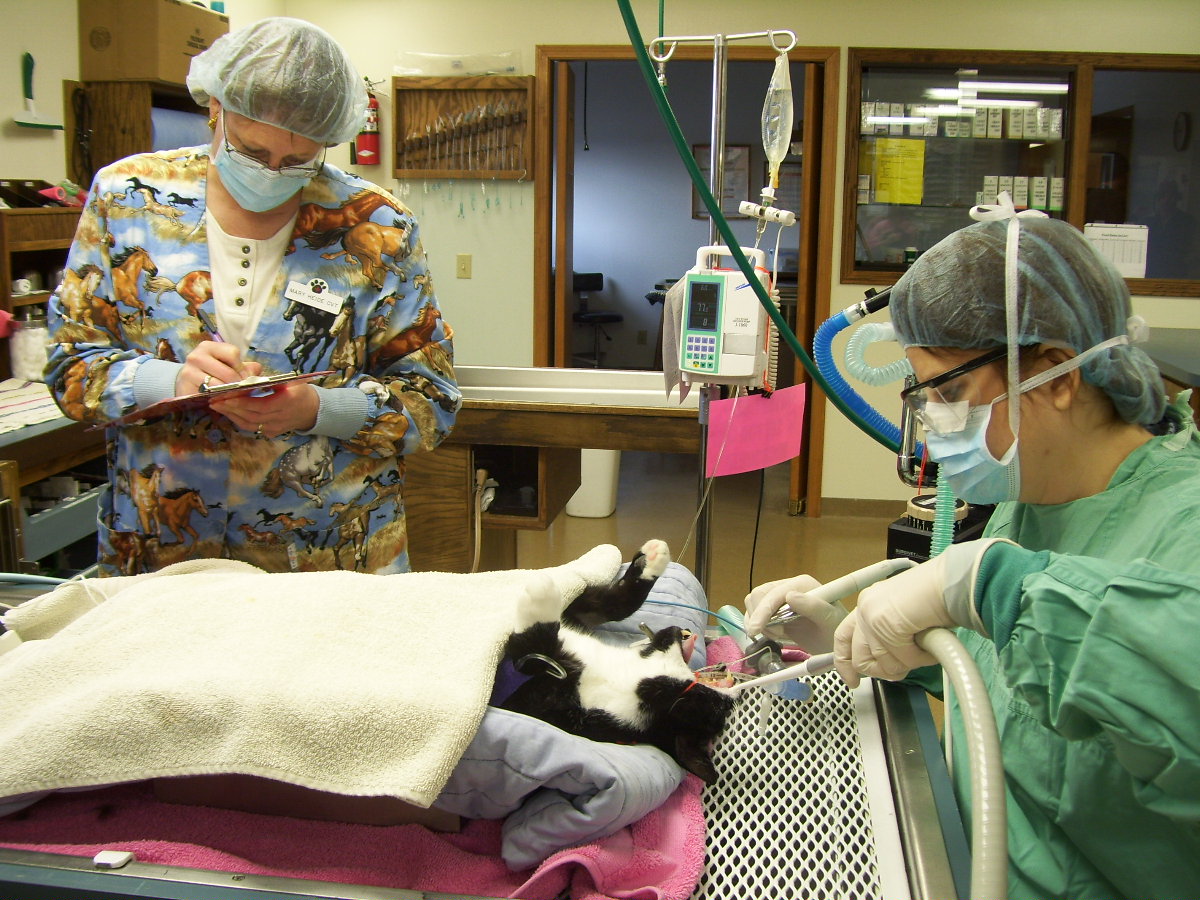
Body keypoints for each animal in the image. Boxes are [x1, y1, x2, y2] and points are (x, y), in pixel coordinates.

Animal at [492, 540, 734, 787]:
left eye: (716, 707)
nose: (681, 628)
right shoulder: (580, 616)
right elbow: (615, 604)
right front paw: (651, 560)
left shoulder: (540, 695)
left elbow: (533, 641)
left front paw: (541, 592)